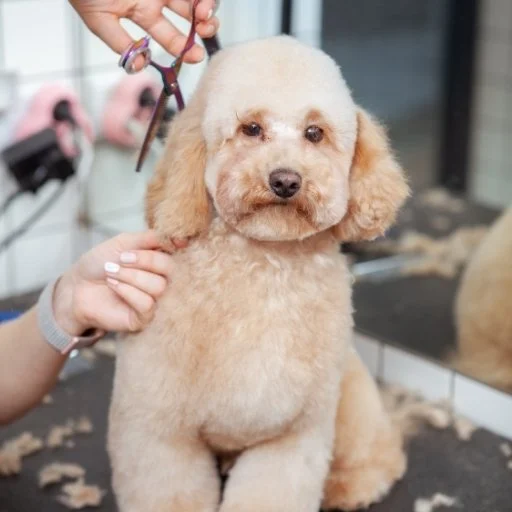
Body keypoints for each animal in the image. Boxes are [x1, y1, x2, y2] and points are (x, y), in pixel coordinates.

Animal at [107, 36, 408, 512]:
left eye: (314, 133)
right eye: (251, 129)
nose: (285, 180)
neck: (265, 268)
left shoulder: (293, 436)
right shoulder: (158, 431)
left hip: (352, 394)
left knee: (381, 455)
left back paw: (348, 485)